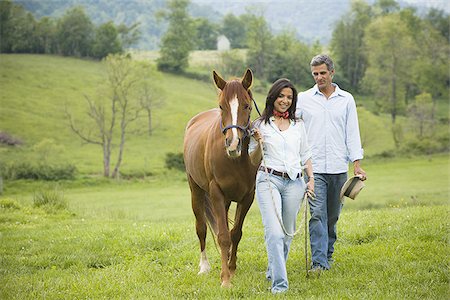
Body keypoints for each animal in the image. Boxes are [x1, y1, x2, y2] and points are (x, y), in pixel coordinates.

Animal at [183, 69, 258, 288]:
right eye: (221, 106)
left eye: (247, 105)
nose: (232, 144)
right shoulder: (216, 193)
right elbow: (223, 236)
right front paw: (225, 279)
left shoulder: (247, 196)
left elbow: (235, 233)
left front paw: (231, 269)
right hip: (196, 191)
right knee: (201, 228)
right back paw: (204, 267)